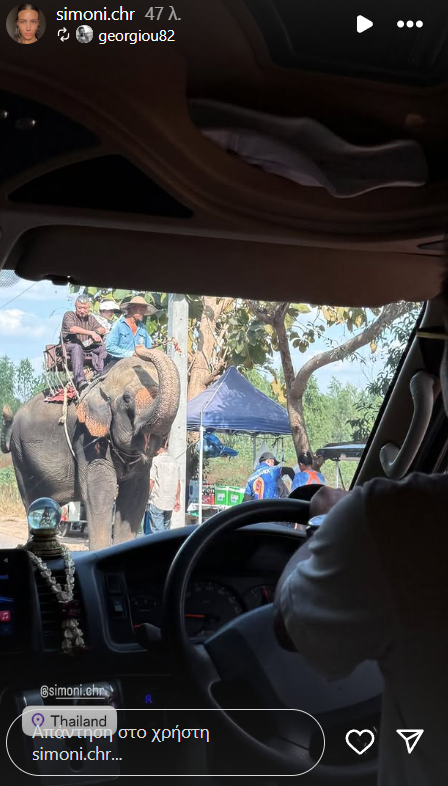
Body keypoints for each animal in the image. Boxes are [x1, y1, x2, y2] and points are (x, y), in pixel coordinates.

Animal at [2, 346, 180, 548]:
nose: (139, 347)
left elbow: (135, 497)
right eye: (127, 399)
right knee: (32, 500)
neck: (103, 382)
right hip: (20, 455)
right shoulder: (85, 434)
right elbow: (100, 493)